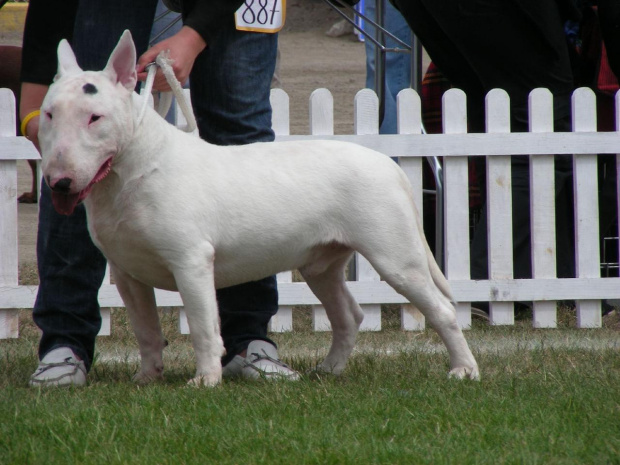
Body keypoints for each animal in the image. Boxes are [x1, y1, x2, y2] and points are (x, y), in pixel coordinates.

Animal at [40, 31, 480, 384]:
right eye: (48, 114)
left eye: (95, 117)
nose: (58, 182)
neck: (129, 170)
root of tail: (390, 166)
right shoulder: (127, 273)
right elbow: (146, 330)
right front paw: (147, 378)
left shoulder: (191, 261)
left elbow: (203, 327)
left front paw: (205, 381)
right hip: (321, 264)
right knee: (348, 315)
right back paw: (328, 370)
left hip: (395, 255)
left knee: (442, 309)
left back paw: (464, 370)